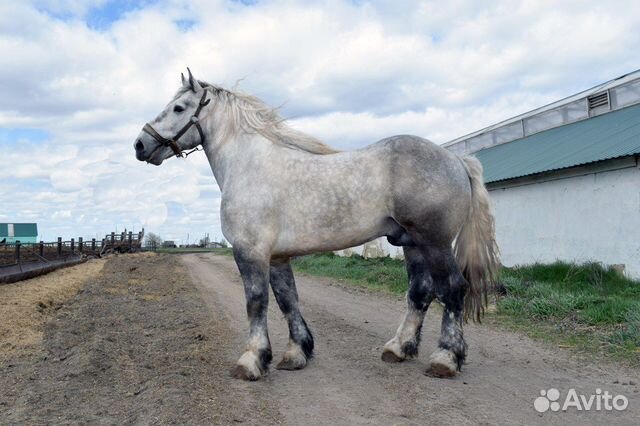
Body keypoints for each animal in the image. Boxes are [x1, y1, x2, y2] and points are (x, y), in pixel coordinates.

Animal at [134, 69, 499, 381]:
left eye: (179, 107)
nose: (140, 144)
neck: (250, 165)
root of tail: (455, 159)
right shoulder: (277, 256)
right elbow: (287, 300)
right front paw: (296, 353)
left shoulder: (251, 252)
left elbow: (256, 301)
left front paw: (251, 360)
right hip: (412, 244)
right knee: (420, 292)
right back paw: (398, 348)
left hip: (435, 242)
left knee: (452, 289)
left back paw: (445, 359)